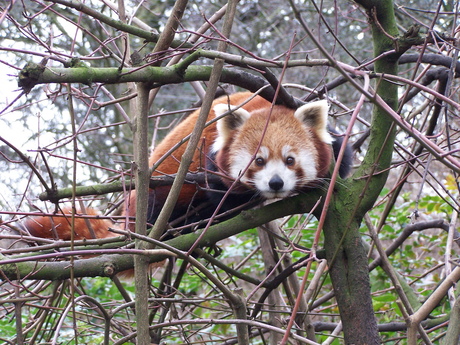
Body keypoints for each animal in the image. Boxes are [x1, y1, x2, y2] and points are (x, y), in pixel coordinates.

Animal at [23, 91, 350, 241]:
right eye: (258, 161)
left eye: (290, 160)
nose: (276, 183)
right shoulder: (211, 161)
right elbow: (221, 194)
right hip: (156, 198)